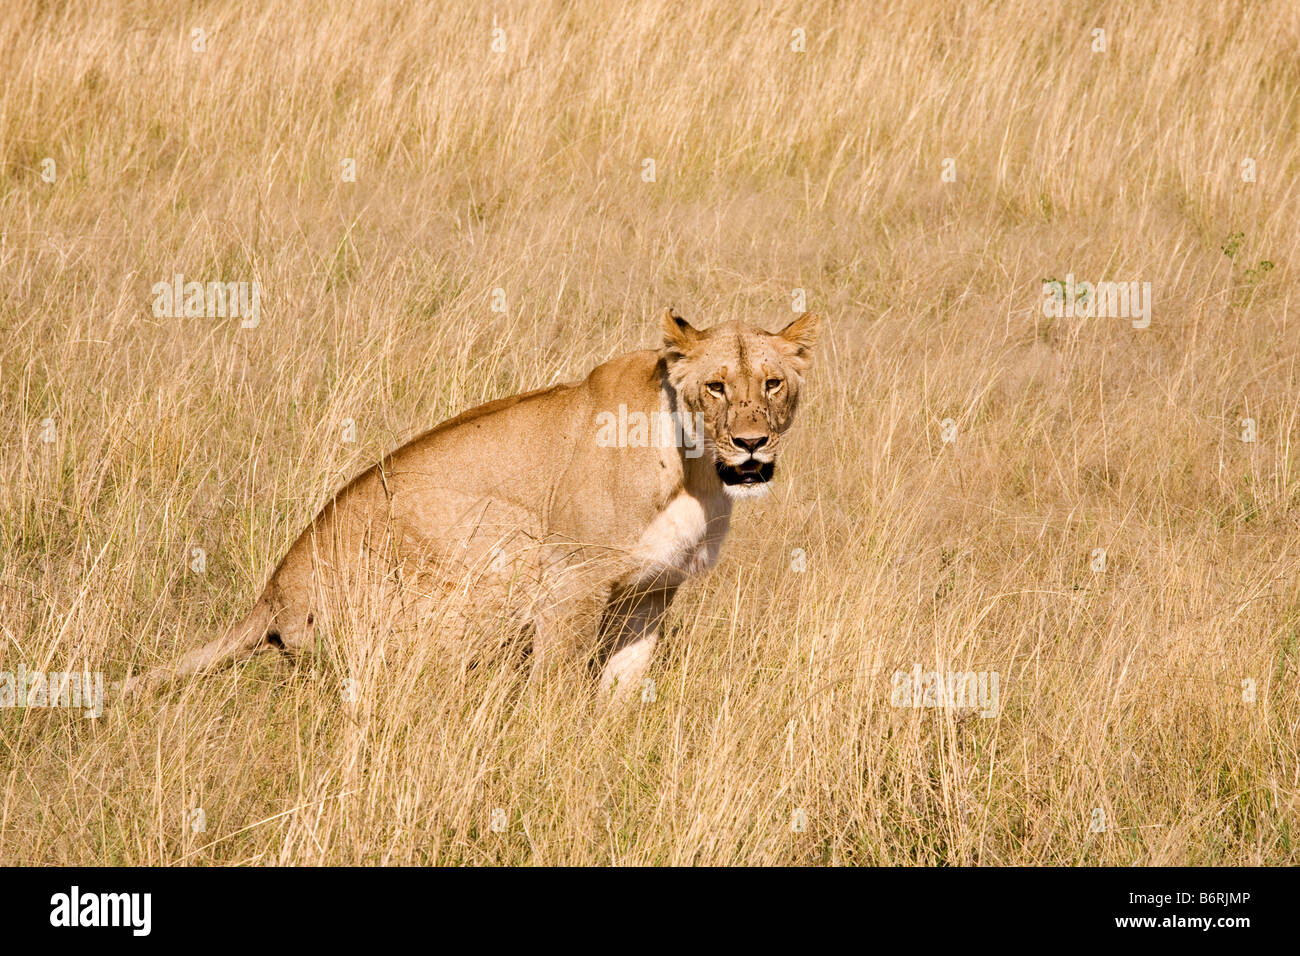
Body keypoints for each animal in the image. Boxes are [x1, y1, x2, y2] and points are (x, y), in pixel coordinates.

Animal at [124, 309, 819, 704]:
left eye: (772, 383)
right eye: (716, 387)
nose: (752, 442)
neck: (697, 474)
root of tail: (271, 594)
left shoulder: (651, 590)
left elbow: (623, 684)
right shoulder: (572, 579)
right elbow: (556, 685)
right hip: (502, 538)